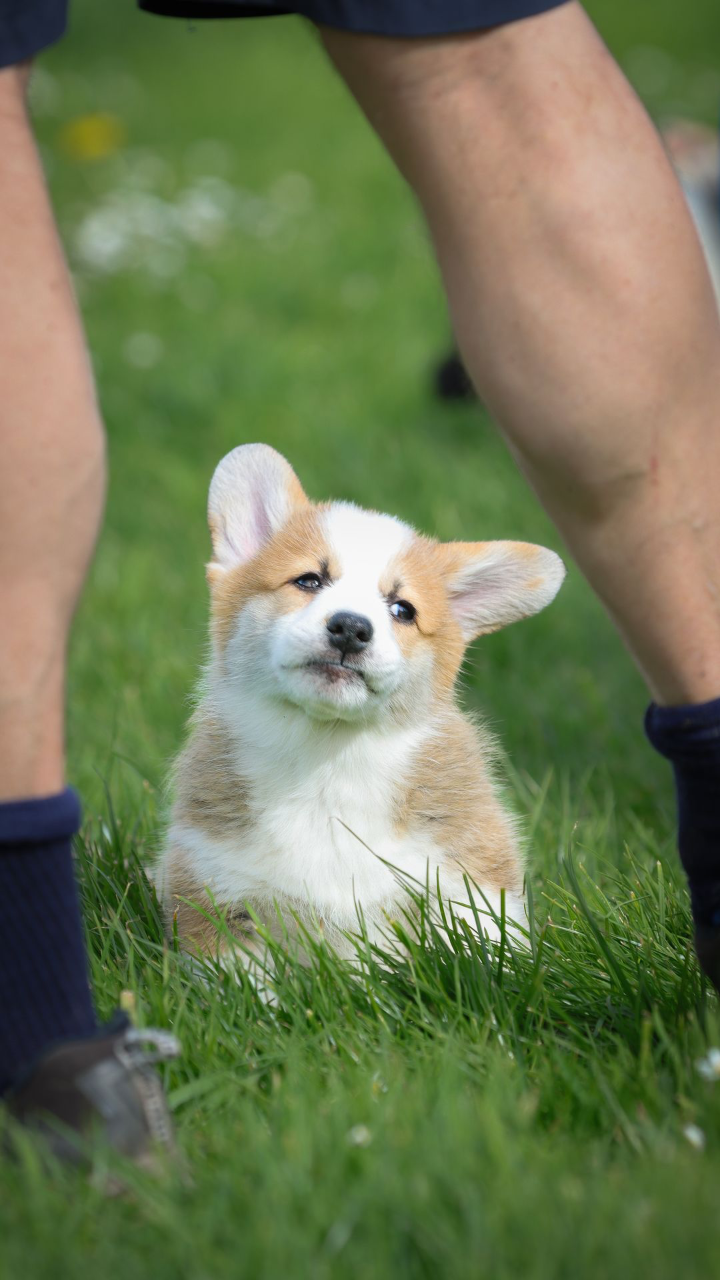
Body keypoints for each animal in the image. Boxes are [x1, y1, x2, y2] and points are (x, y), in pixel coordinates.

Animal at [158, 445, 566, 962]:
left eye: (402, 610)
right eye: (309, 580)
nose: (351, 628)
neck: (328, 759)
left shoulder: (466, 879)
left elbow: (490, 950)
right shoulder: (216, 891)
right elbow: (243, 975)